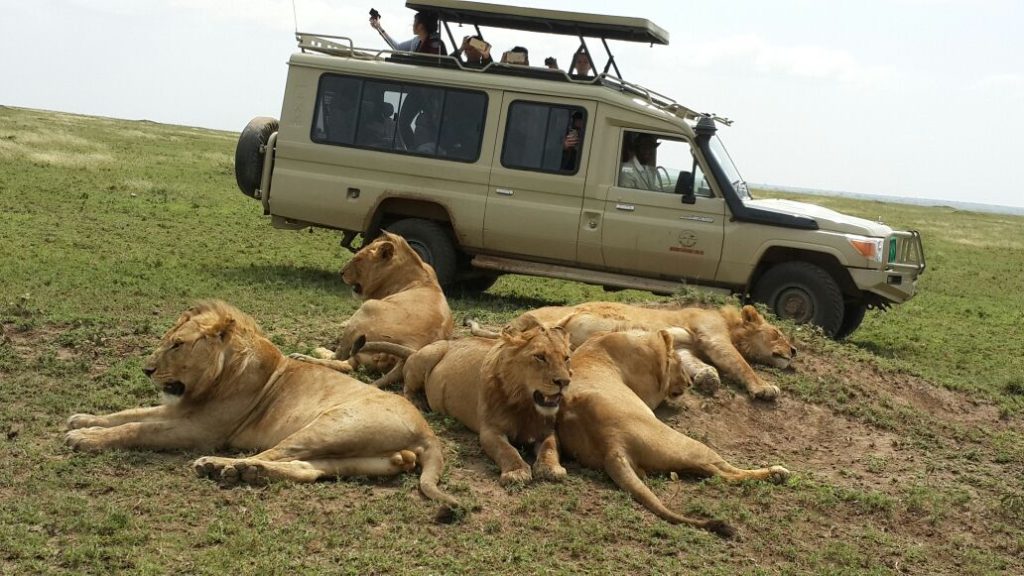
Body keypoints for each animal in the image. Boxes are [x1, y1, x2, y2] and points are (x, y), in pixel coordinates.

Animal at [65, 297, 460, 512]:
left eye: (177, 345)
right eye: (166, 341)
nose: (146, 370)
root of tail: (427, 433)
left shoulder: (200, 429)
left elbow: (136, 428)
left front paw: (84, 439)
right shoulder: (181, 410)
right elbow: (128, 414)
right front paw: (82, 420)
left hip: (329, 425)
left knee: (275, 453)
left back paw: (220, 466)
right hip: (359, 455)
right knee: (306, 469)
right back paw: (248, 473)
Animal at [296, 228, 456, 381]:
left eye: (358, 259)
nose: (341, 272)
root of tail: (413, 347)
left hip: (366, 310)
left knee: (340, 356)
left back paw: (306, 353)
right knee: (345, 364)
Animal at [468, 301, 794, 399]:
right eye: (777, 333)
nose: (794, 351)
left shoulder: (687, 346)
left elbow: (694, 363)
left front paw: (707, 378)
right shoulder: (712, 334)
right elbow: (740, 363)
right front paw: (764, 387)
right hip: (545, 322)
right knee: (507, 336)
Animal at [557, 330, 786, 537]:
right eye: (679, 364)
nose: (689, 383)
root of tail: (610, 444)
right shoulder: (651, 391)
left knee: (714, 473)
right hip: (687, 444)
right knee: (727, 473)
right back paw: (778, 472)